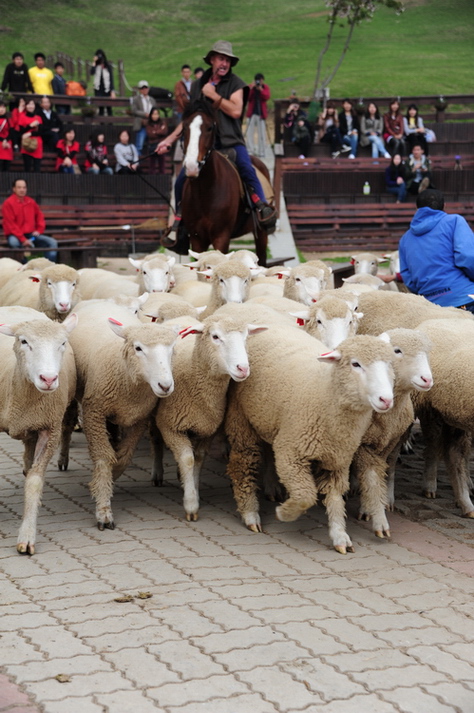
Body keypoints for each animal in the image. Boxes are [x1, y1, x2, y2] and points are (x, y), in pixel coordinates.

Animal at [0, 304, 76, 552]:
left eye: (62, 343)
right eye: (24, 341)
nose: (49, 379)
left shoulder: (50, 429)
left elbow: (34, 482)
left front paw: (27, 535)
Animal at [65, 298, 180, 528]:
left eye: (172, 348)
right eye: (138, 348)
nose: (165, 386)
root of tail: (99, 300)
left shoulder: (139, 418)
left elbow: (123, 457)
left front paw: (112, 478)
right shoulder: (94, 412)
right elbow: (103, 456)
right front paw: (103, 509)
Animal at [155, 310, 268, 516]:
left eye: (246, 337)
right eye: (215, 337)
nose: (243, 368)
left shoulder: (208, 429)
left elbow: (198, 460)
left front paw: (194, 489)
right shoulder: (170, 426)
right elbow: (188, 460)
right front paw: (191, 504)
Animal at [180, 101, 272, 266]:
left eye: (210, 127)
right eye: (184, 127)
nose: (191, 166)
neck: (205, 193)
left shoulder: (221, 237)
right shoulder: (197, 238)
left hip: (262, 232)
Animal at [224, 322, 394, 552]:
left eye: (389, 364)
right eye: (355, 364)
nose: (386, 399)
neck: (326, 393)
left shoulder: (337, 459)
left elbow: (335, 497)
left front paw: (339, 535)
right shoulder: (290, 452)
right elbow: (306, 495)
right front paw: (285, 513)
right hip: (241, 419)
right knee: (243, 464)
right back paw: (250, 513)